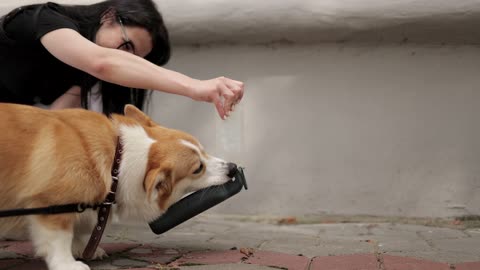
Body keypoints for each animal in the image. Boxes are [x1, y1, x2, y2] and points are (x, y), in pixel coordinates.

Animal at [0, 103, 238, 270]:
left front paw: (84, 248)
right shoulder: (54, 204)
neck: (118, 161)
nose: (233, 168)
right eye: (198, 168)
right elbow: (59, 238)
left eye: (204, 150)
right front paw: (67, 263)